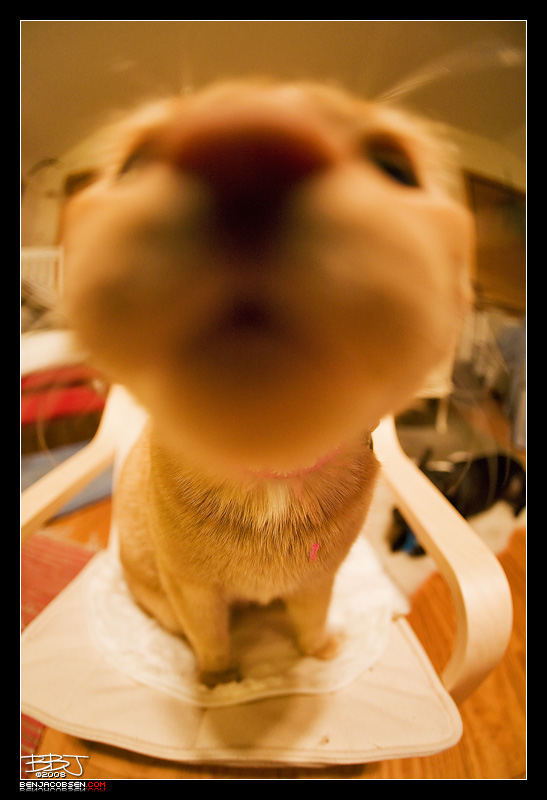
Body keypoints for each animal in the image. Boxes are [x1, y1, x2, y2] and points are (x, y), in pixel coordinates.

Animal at [61, 79, 473, 686]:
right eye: (135, 166)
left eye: (394, 170)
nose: (244, 148)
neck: (269, 480)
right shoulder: (194, 593)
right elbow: (211, 642)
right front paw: (218, 684)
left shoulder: (316, 586)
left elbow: (310, 629)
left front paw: (316, 653)